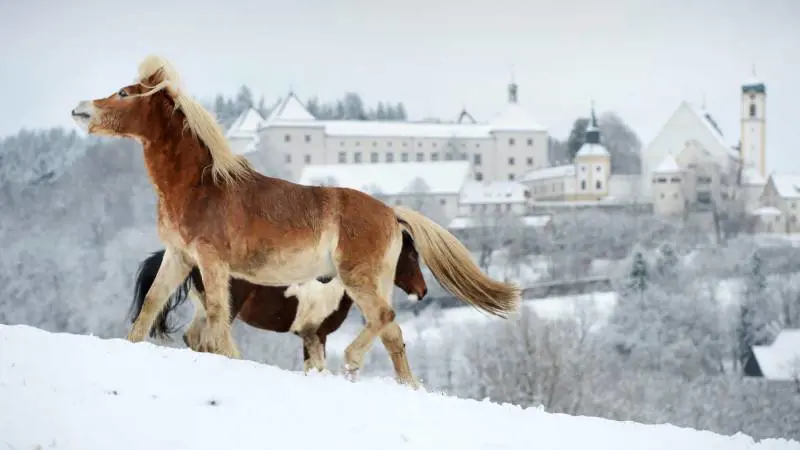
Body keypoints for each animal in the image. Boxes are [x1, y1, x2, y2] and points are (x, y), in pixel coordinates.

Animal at [128, 230, 428, 377]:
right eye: (411, 255)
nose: (422, 291)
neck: (332, 287)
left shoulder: (310, 337)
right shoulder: (315, 334)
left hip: (203, 308)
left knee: (193, 338)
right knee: (208, 340)